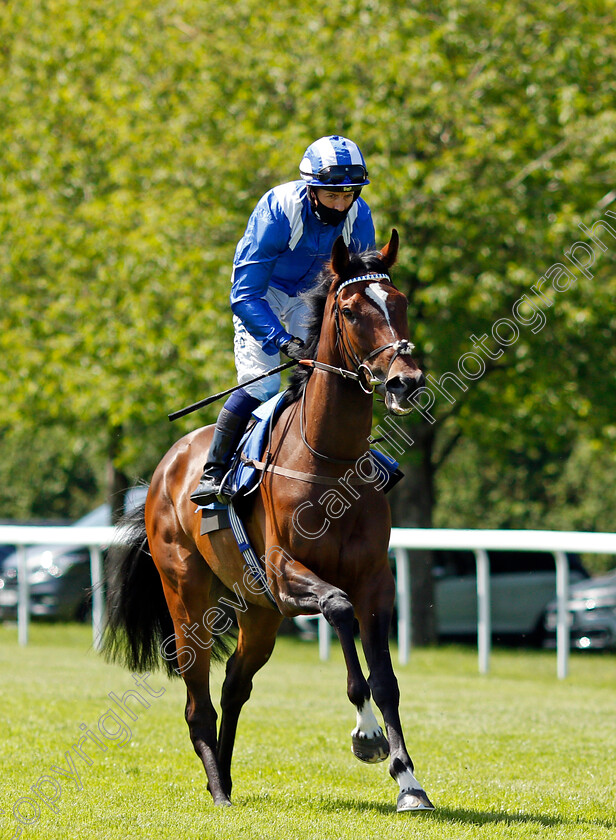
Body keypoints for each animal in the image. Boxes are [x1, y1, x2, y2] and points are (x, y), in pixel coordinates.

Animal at [103, 230, 436, 812]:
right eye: (350, 311)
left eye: (400, 303)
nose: (405, 381)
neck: (330, 461)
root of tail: (166, 465)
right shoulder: (284, 574)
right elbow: (340, 613)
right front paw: (367, 736)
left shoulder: (375, 580)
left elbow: (386, 680)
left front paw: (409, 782)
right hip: (188, 597)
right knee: (198, 701)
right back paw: (217, 790)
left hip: (258, 614)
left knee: (235, 685)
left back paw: (227, 777)